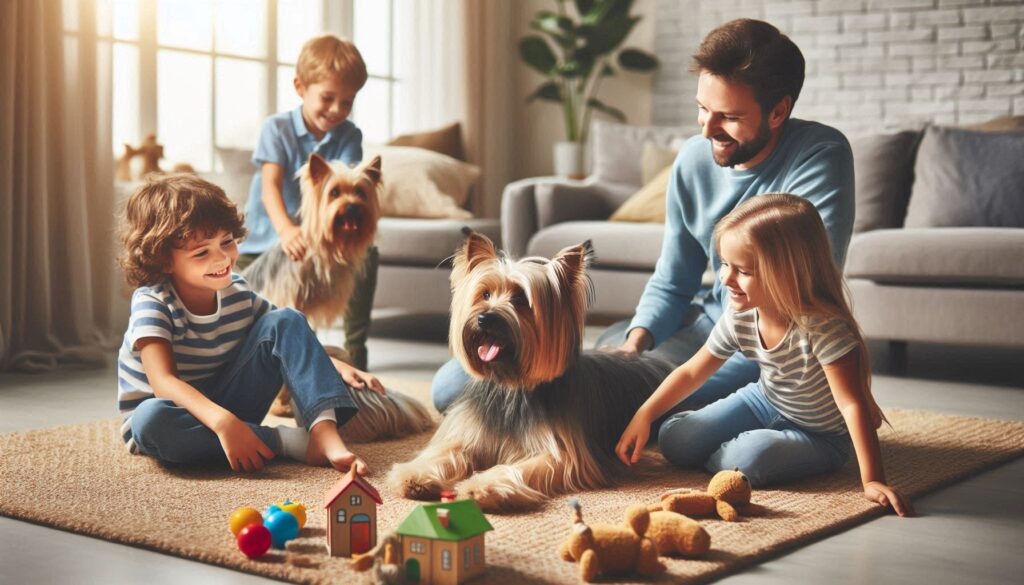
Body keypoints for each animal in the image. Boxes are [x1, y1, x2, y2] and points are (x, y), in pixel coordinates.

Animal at [387, 231, 675, 510]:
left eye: (520, 299)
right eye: (485, 294)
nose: (485, 318)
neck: (511, 385)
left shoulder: (563, 455)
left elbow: (521, 467)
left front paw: (483, 487)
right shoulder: (470, 436)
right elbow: (446, 451)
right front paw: (414, 475)